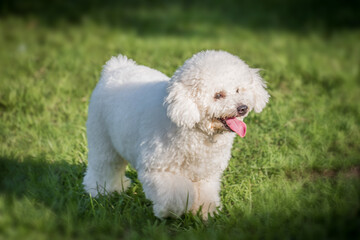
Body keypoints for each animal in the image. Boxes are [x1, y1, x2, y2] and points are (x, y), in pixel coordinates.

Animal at [83, 49, 268, 218]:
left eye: (238, 90)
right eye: (218, 95)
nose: (243, 108)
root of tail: (116, 68)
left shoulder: (206, 173)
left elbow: (205, 194)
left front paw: (205, 213)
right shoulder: (158, 170)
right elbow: (176, 196)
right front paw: (169, 212)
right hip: (102, 139)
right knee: (105, 166)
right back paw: (102, 191)